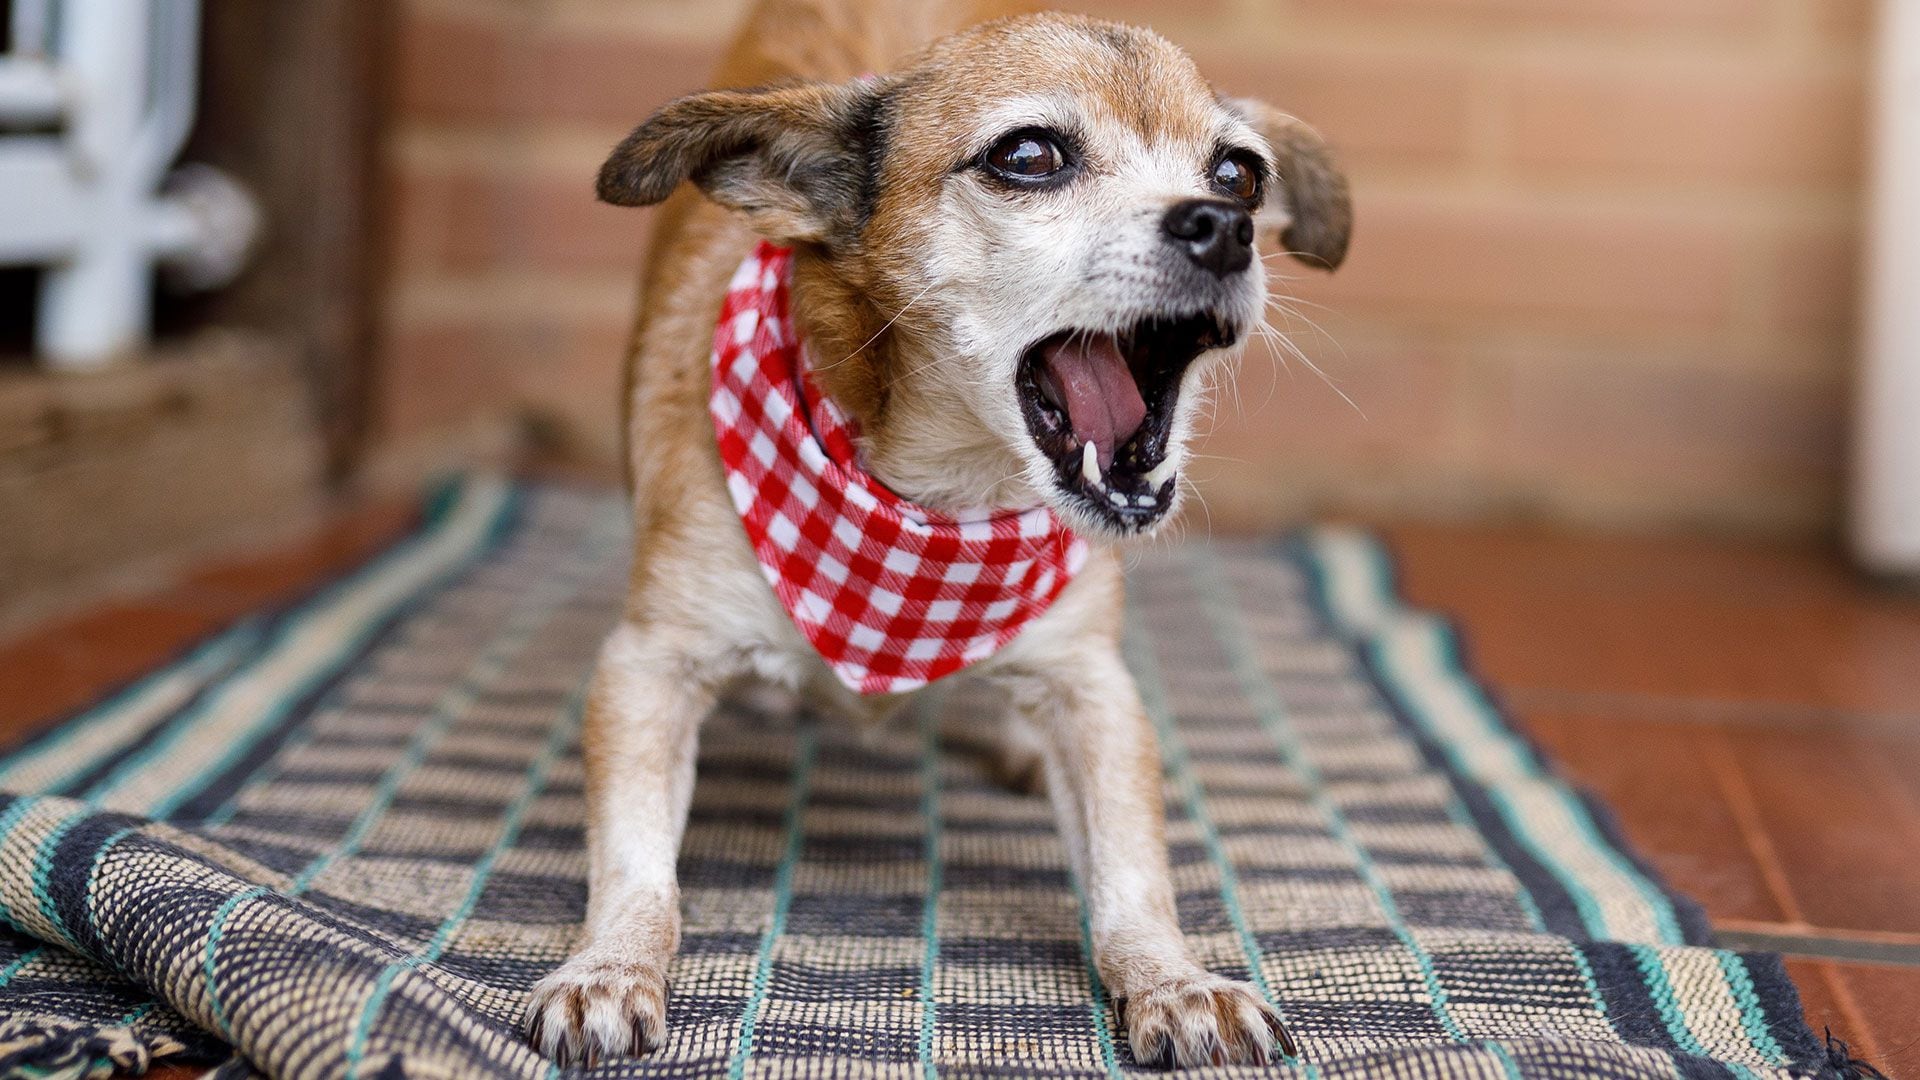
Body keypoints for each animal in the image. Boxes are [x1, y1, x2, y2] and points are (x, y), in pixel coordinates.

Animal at [526, 0, 1351, 1060]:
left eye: (1241, 174)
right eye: (1029, 156)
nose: (1226, 228)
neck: (938, 502)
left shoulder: (1092, 685)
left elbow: (1132, 868)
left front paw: (1171, 979)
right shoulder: (648, 665)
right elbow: (634, 862)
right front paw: (610, 965)